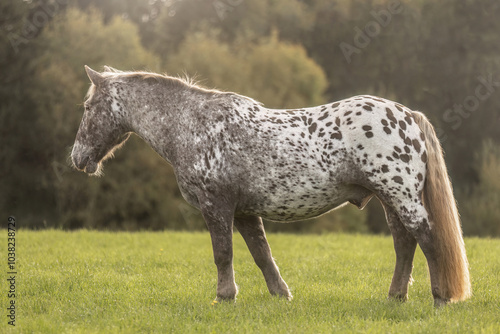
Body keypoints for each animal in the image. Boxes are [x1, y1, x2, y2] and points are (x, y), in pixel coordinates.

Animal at [71, 66, 472, 308]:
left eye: (88, 106)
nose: (77, 158)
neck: (194, 125)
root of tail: (408, 116)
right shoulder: (245, 213)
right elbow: (262, 255)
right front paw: (281, 296)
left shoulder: (217, 207)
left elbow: (223, 254)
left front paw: (224, 298)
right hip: (390, 200)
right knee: (405, 244)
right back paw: (395, 298)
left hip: (402, 197)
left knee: (427, 239)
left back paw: (439, 298)